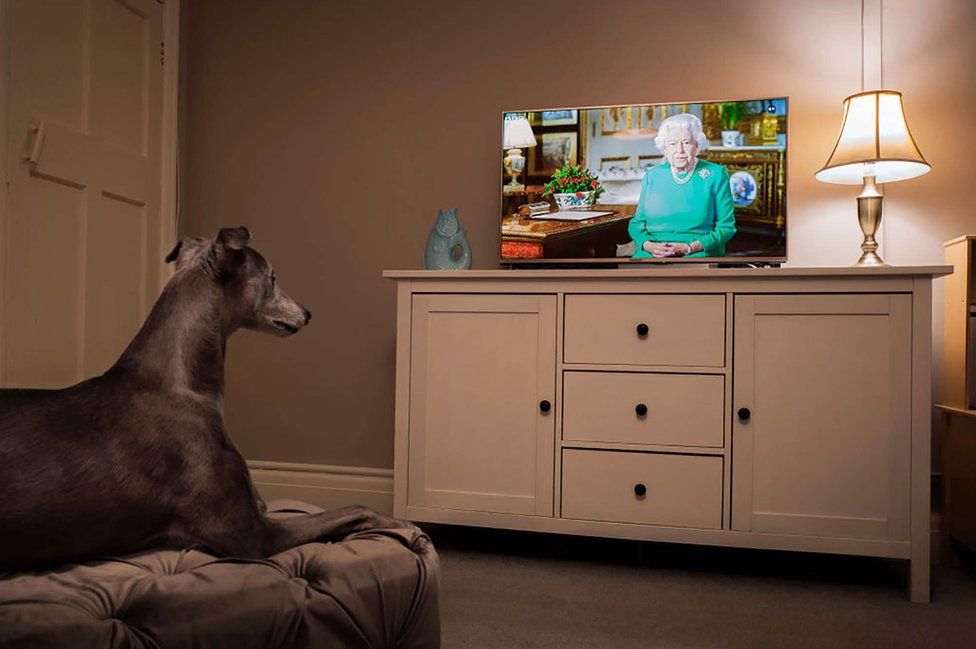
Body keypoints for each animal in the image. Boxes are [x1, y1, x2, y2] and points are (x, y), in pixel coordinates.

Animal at [0, 227, 408, 568]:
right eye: (273, 276)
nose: (308, 313)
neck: (180, 382)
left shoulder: (257, 509)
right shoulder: (250, 535)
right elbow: (358, 509)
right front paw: (399, 523)